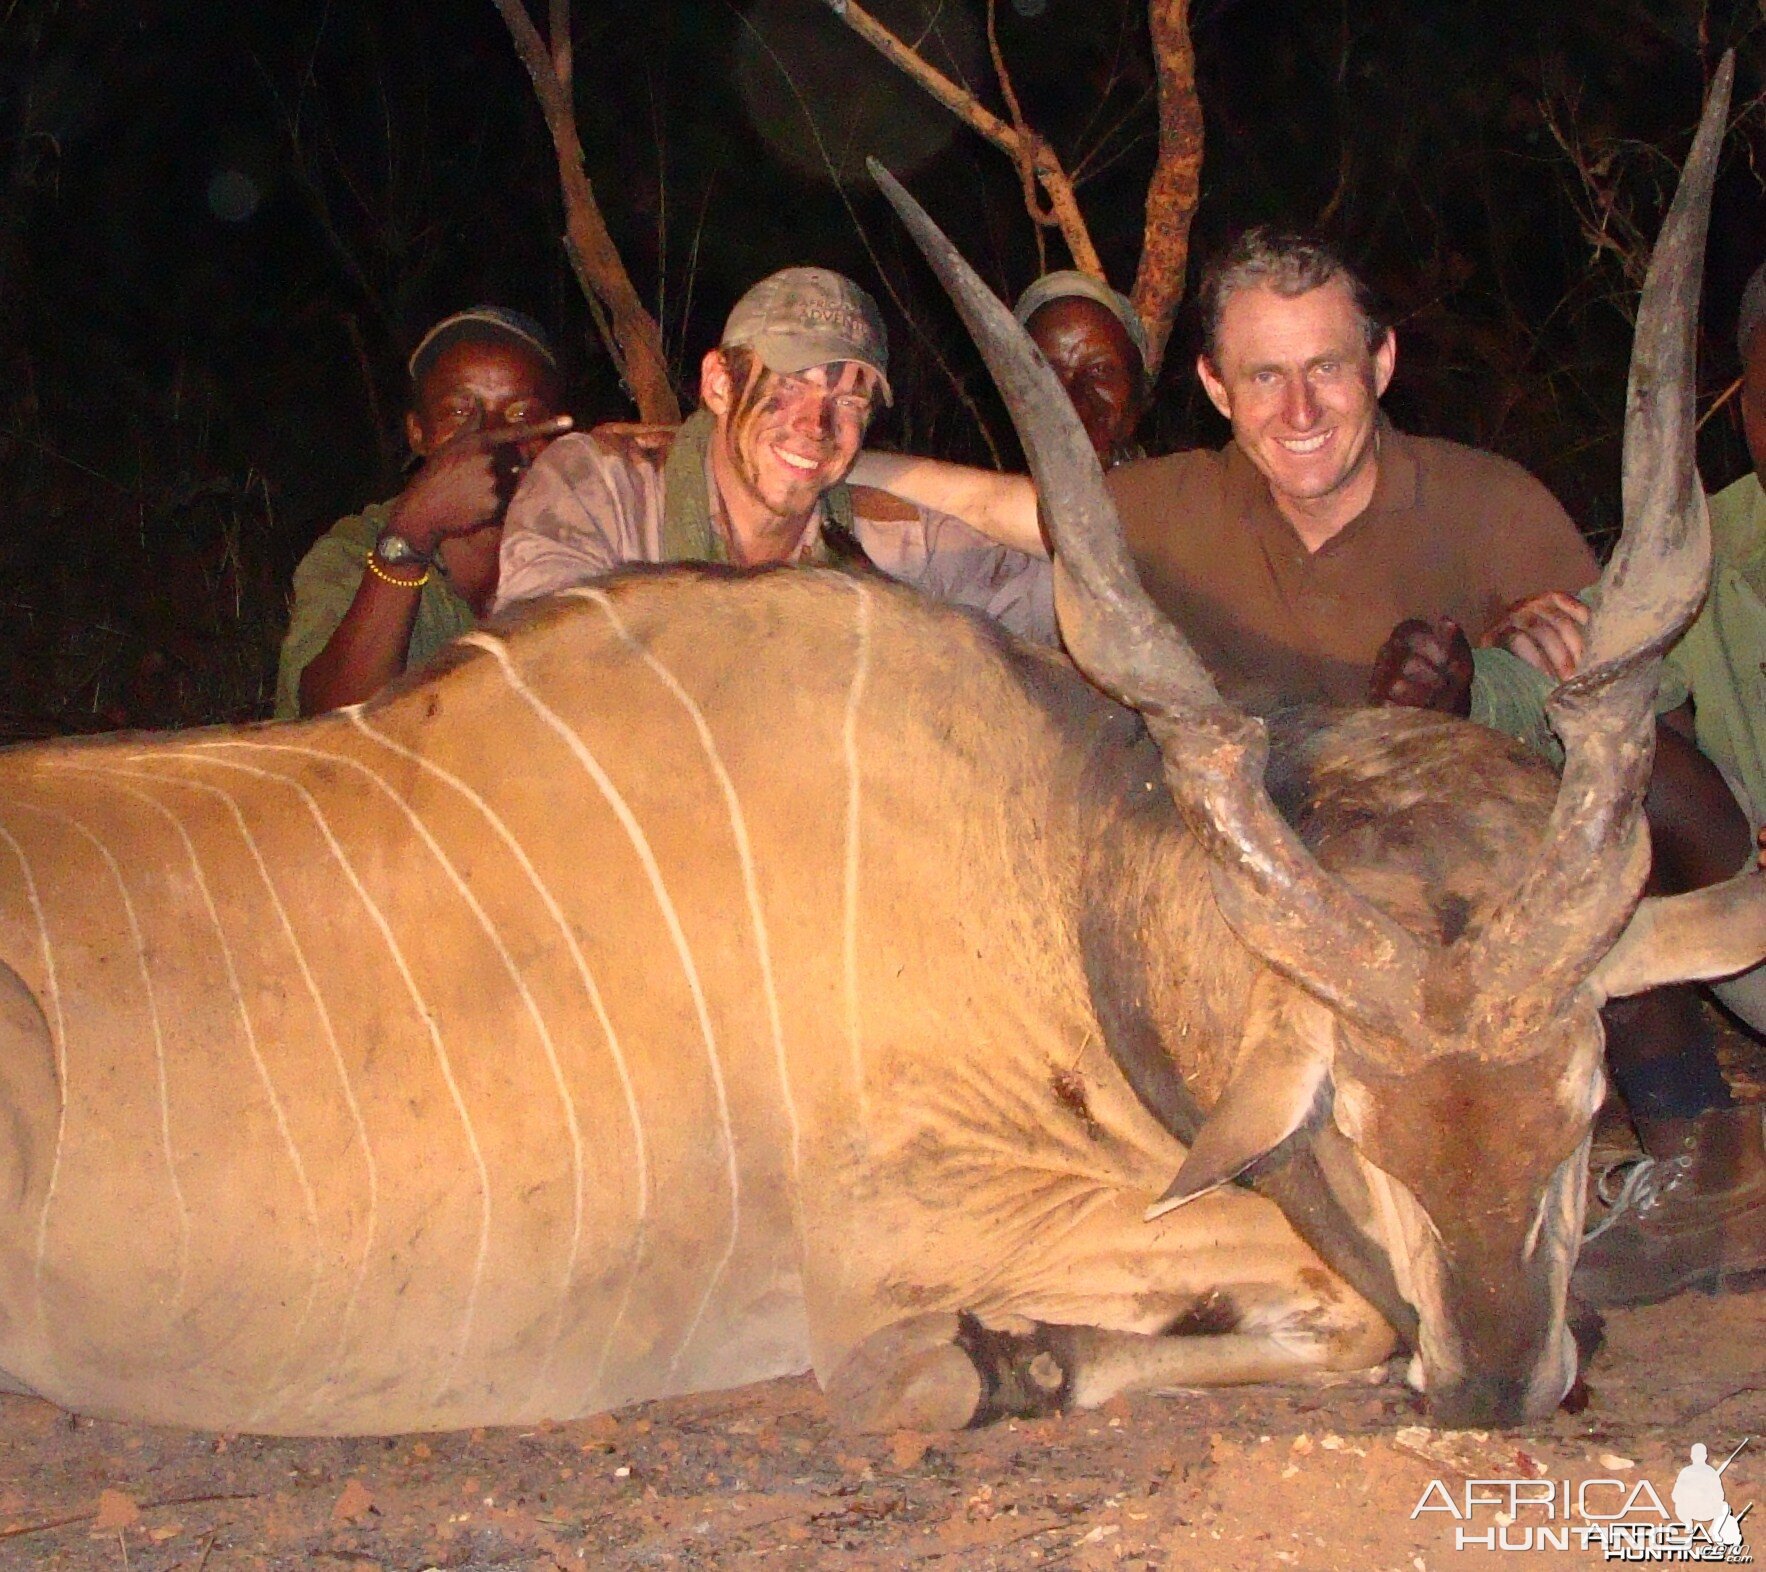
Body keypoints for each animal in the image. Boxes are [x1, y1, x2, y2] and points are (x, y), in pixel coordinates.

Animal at [0, 67, 1758, 1434]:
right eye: (1352, 1121)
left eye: (1580, 1110)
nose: (1501, 1387)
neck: (1061, 863)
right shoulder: (908, 1236)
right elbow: (1323, 1301)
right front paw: (1005, 1363)